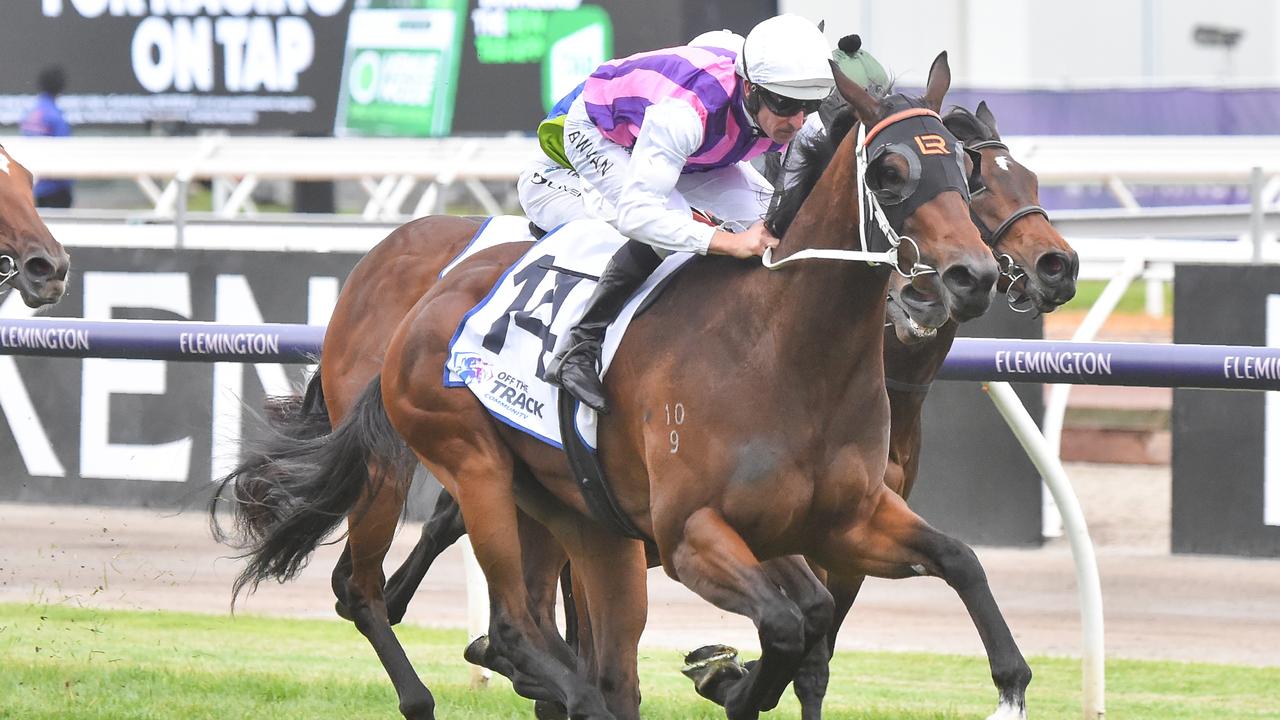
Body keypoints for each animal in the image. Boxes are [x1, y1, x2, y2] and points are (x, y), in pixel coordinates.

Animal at [212, 54, 1029, 717]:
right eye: (889, 171)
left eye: (963, 170)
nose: (972, 276)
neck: (787, 356)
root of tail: (421, 300)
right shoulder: (691, 532)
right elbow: (787, 625)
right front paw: (729, 681)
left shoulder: (845, 519)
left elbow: (949, 563)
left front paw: (1012, 682)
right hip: (465, 465)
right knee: (478, 615)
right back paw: (489, 688)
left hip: (581, 520)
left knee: (585, 649)